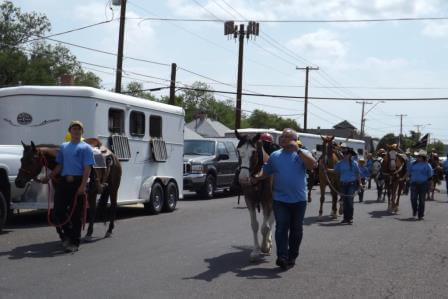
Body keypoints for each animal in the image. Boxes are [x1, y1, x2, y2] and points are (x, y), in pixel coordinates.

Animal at [234, 131, 276, 262]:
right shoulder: (250, 200)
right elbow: (255, 225)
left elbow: (265, 227)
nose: (243, 178)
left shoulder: (268, 200)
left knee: (271, 221)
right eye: (238, 151)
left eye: (253, 152)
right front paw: (255, 251)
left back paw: (268, 243)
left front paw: (265, 246)